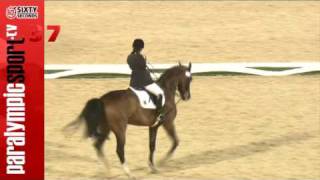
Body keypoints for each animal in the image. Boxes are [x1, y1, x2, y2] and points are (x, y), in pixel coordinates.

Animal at [63, 62, 191, 179]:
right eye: (189, 79)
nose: (187, 96)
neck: (166, 91)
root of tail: (102, 100)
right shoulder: (168, 123)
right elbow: (175, 142)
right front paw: (162, 162)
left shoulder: (153, 126)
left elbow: (152, 146)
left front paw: (153, 167)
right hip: (120, 129)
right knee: (119, 150)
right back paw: (128, 173)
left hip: (106, 128)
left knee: (98, 146)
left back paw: (105, 171)